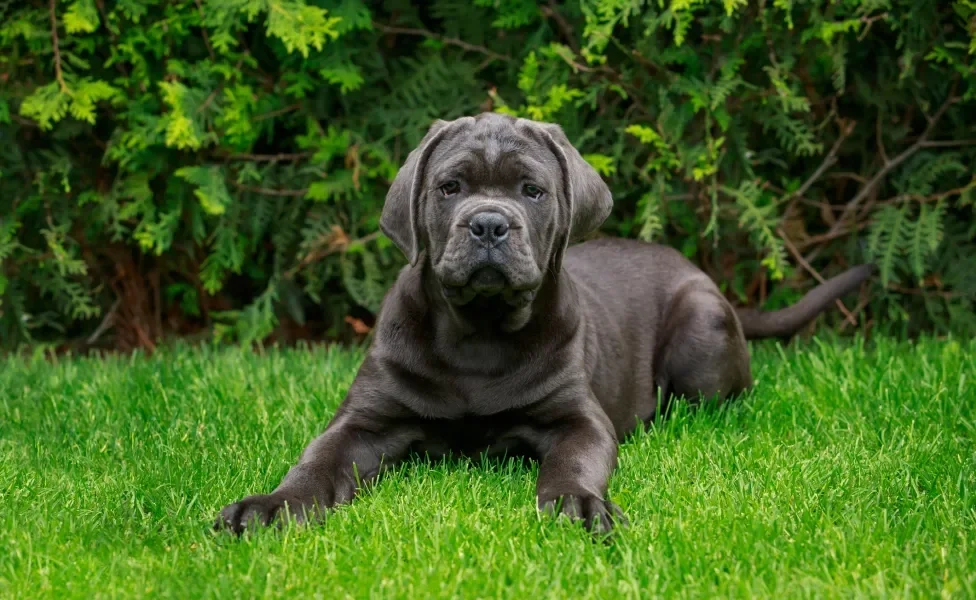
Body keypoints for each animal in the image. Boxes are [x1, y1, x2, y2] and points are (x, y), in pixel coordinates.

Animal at [215, 112, 876, 536]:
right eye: (449, 187)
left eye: (532, 191)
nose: (488, 223)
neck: (477, 336)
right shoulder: (365, 420)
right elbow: (317, 461)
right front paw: (273, 507)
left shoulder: (577, 420)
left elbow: (572, 463)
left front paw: (579, 507)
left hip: (703, 334)